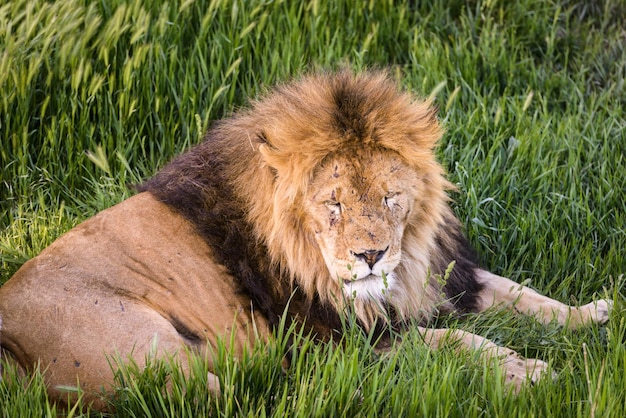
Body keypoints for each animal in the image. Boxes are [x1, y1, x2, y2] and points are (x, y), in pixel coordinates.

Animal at [0, 70, 608, 410]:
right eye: (332, 203)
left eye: (390, 196)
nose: (371, 256)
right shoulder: (345, 339)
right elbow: (456, 341)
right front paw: (533, 373)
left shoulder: (445, 278)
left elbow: (521, 293)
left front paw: (595, 315)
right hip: (155, 355)